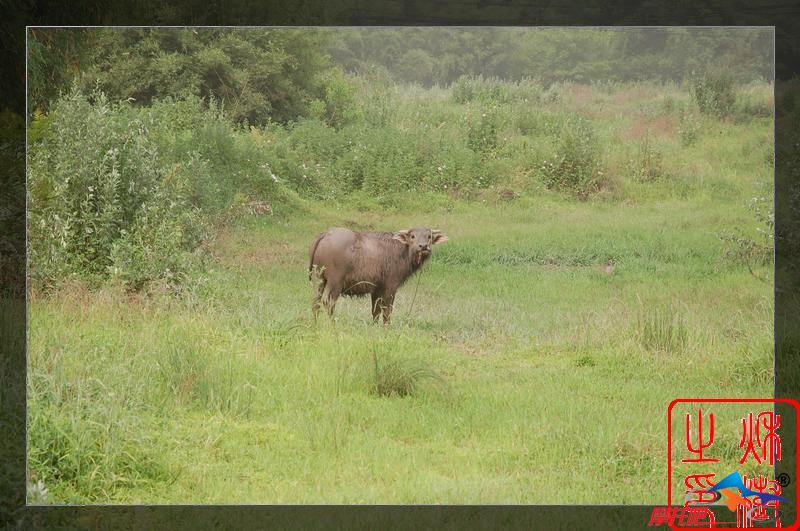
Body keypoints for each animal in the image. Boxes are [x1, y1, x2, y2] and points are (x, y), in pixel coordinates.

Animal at [310, 227, 450, 322]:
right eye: (412, 236)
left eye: (429, 236)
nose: (423, 246)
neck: (402, 252)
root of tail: (326, 234)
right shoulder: (391, 287)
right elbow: (387, 310)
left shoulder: (376, 289)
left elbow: (375, 311)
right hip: (335, 282)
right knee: (328, 302)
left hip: (318, 279)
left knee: (315, 302)